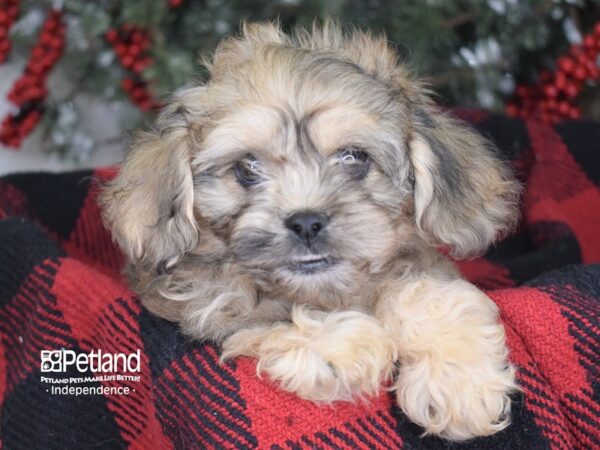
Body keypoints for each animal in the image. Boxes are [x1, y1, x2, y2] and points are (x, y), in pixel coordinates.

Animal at [98, 20, 520, 440]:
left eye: (354, 158)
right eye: (247, 168)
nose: (306, 222)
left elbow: (425, 292)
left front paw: (460, 383)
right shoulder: (205, 304)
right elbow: (266, 315)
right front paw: (344, 347)